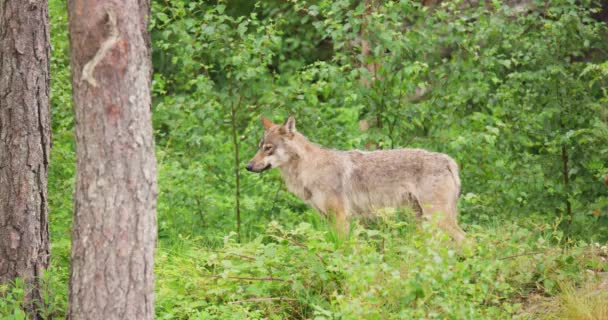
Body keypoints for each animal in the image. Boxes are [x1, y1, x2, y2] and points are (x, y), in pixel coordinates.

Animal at [245, 115, 468, 242]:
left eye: (268, 148)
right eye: (259, 147)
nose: (248, 166)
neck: (309, 170)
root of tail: (449, 161)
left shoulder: (340, 217)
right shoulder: (328, 218)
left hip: (437, 219)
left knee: (468, 242)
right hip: (423, 220)